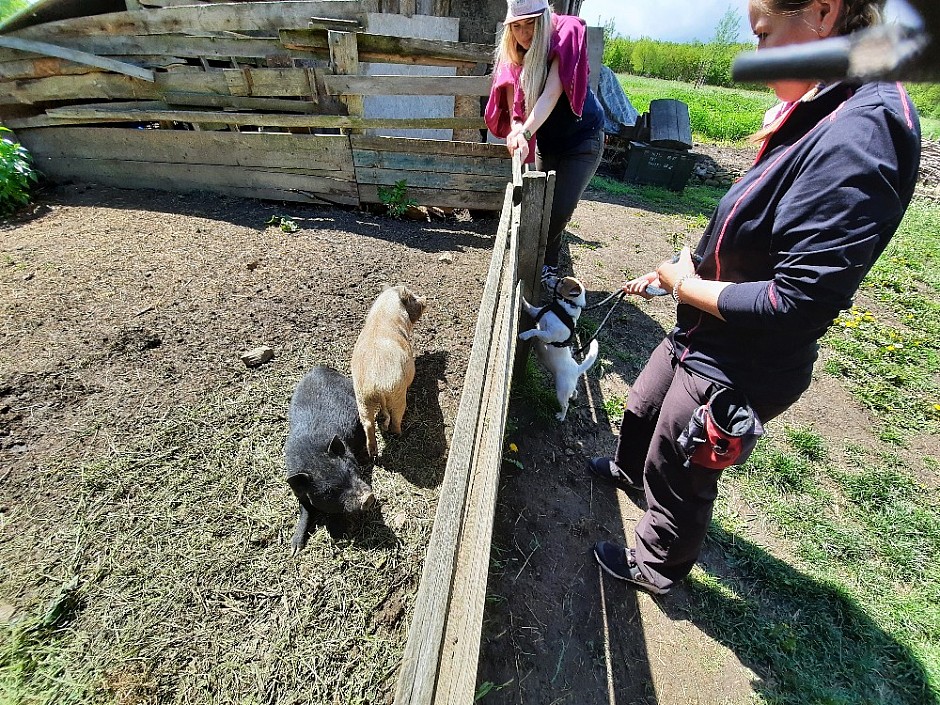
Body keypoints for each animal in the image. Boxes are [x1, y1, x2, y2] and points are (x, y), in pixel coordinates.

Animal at [284, 366, 376, 552]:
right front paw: (295, 549)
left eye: (352, 471)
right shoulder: (298, 491)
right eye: (329, 491)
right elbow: (305, 510)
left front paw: (340, 534)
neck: (313, 456)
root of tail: (319, 368)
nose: (368, 497)